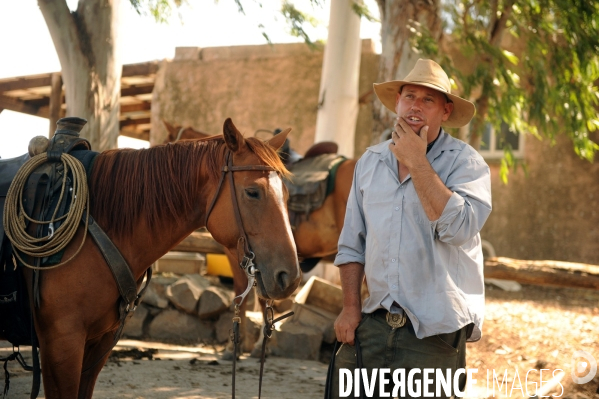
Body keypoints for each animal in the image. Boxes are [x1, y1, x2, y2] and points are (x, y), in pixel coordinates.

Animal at [8, 117, 298, 398]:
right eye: (252, 192)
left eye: (286, 195)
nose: (290, 277)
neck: (92, 222)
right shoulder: (61, 343)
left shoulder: (97, 342)